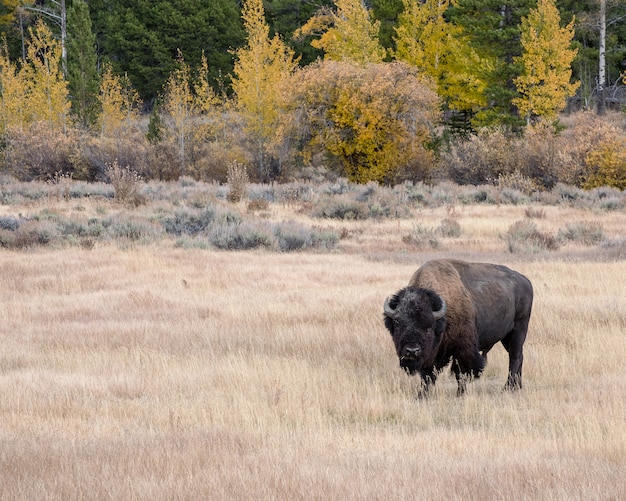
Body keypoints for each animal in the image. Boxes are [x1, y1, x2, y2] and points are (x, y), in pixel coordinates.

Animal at [380, 258, 532, 394]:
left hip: (518, 330)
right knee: (519, 357)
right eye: (397, 322)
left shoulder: (463, 349)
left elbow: (461, 373)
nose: (412, 351)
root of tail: (526, 281)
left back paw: (507, 388)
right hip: (506, 337)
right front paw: (421, 395)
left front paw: (460, 393)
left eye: (429, 325)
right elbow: (427, 375)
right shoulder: (433, 354)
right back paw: (517, 387)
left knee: (515, 358)